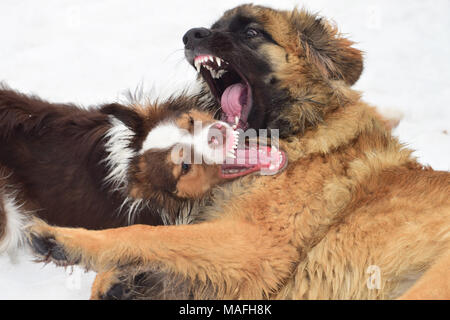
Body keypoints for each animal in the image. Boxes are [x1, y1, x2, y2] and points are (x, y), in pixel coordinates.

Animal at [29, 4, 448, 300]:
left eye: (252, 32)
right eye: (213, 26)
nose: (192, 34)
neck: (302, 136)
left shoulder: (253, 244)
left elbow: (147, 233)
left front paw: (64, 240)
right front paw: (119, 280)